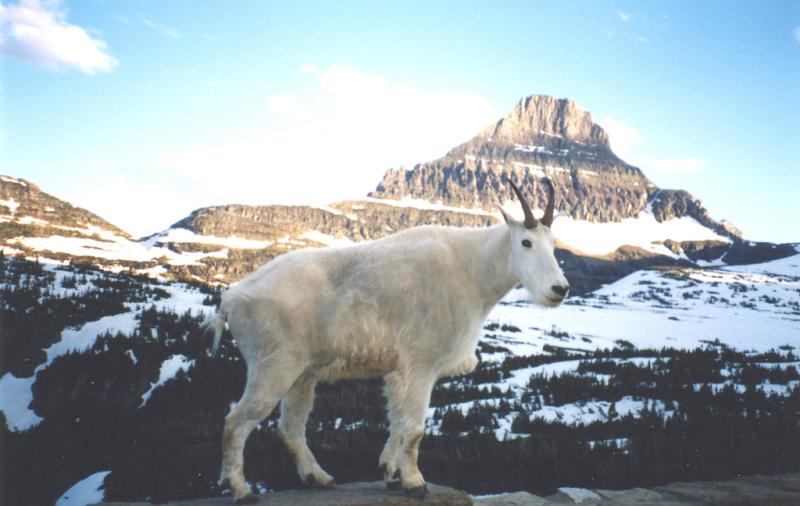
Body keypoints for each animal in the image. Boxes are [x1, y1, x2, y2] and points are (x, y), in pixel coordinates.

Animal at [209, 179, 572, 502]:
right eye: (526, 242)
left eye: (555, 243)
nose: (560, 289)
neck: (472, 269)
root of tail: (232, 300)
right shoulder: (421, 365)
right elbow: (414, 429)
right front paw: (414, 483)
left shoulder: (399, 372)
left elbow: (397, 423)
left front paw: (391, 474)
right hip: (272, 366)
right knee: (235, 421)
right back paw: (242, 490)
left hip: (302, 374)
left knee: (290, 427)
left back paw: (320, 478)